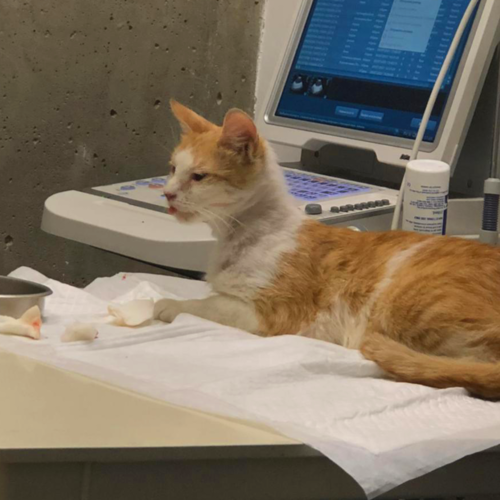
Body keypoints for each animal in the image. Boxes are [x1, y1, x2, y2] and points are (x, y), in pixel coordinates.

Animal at [154, 100, 500, 399]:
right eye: (171, 169)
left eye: (198, 176)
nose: (167, 194)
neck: (240, 233)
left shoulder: (272, 314)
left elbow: (207, 305)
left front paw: (168, 305)